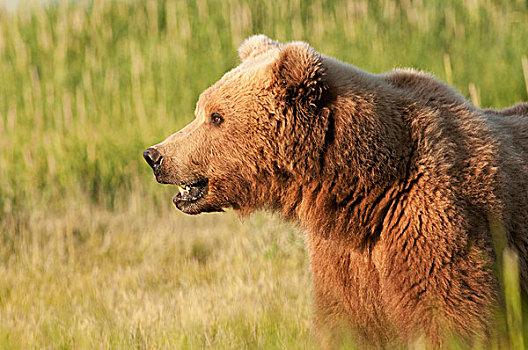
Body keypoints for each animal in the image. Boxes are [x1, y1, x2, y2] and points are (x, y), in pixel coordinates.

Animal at [143, 35, 528, 348]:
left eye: (216, 117)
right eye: (200, 109)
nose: (155, 155)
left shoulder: (434, 227)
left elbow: (449, 318)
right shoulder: (345, 261)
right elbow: (348, 324)